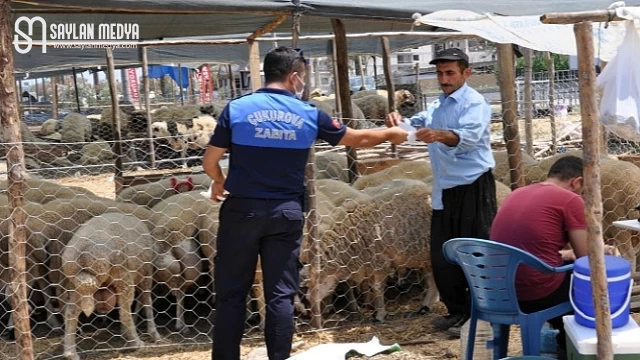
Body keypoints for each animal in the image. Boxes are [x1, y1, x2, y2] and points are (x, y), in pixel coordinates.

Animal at [60, 212, 161, 358]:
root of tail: (83, 255)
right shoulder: (145, 272)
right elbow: (146, 302)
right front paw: (152, 333)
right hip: (124, 276)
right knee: (125, 311)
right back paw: (136, 342)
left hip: (76, 285)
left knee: (71, 313)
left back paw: (70, 352)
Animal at [304, 181, 436, 322]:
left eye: (315, 282)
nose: (308, 308)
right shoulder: (371, 265)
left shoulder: (380, 261)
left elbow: (377, 289)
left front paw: (380, 315)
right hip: (425, 257)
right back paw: (426, 306)